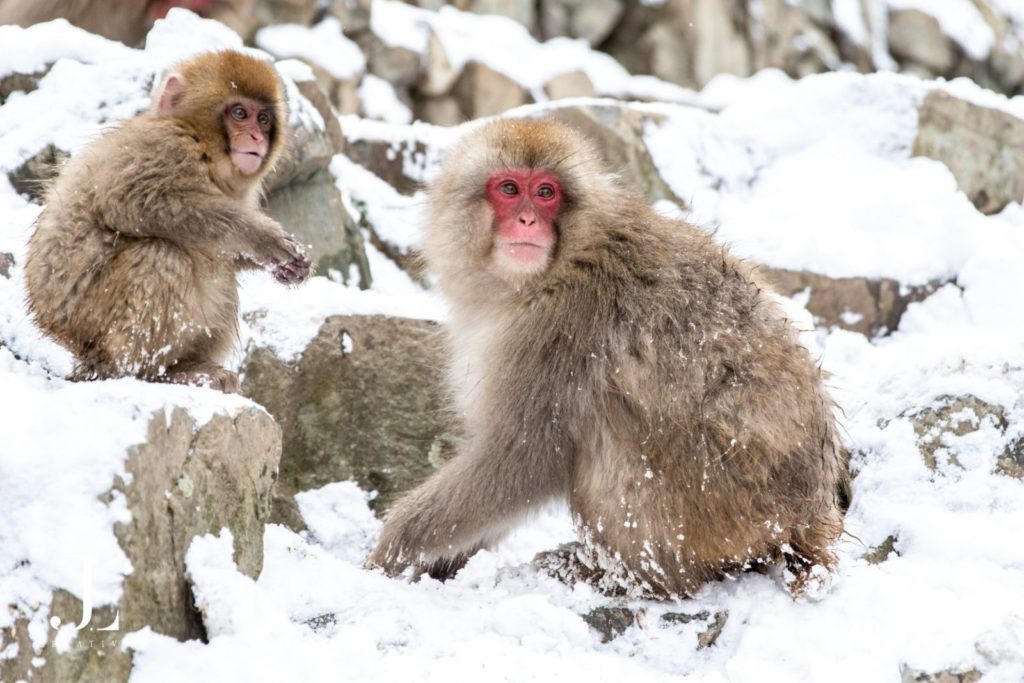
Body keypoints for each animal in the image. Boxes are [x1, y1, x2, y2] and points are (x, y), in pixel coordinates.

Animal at [24, 50, 310, 393]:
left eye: (264, 119)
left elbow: (228, 252)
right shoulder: (164, 146)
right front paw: (264, 239)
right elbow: (132, 199)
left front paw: (287, 266)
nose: (256, 137)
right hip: (93, 325)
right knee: (160, 256)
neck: (205, 149)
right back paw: (150, 373)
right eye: (240, 113)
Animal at [366, 118, 847, 598]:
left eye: (546, 192)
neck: (560, 265)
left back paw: (625, 575)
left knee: (611, 423)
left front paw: (392, 549)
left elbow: (522, 457)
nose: (527, 219)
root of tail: (807, 514)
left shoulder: (558, 328)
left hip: (715, 515)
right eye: (509, 188)